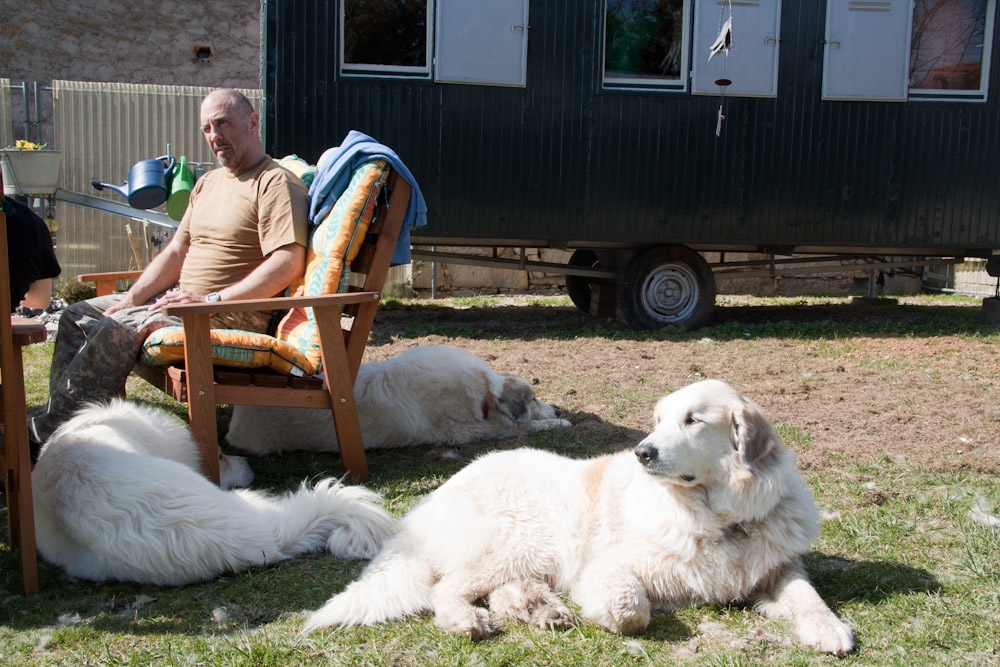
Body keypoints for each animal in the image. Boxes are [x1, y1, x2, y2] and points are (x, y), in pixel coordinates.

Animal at [227, 348, 572, 456]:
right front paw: (558, 422)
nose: (556, 408)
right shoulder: (460, 432)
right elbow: (515, 429)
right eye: (534, 398)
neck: (480, 392)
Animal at [308, 378, 856, 656]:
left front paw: (829, 629)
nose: (642, 452)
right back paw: (470, 620)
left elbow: (807, 596)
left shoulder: (778, 568)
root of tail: (431, 501)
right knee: (449, 587)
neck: (717, 515)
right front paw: (620, 613)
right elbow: (630, 607)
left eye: (693, 421)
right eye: (658, 421)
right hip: (529, 538)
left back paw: (541, 609)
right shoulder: (610, 566)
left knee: (499, 588)